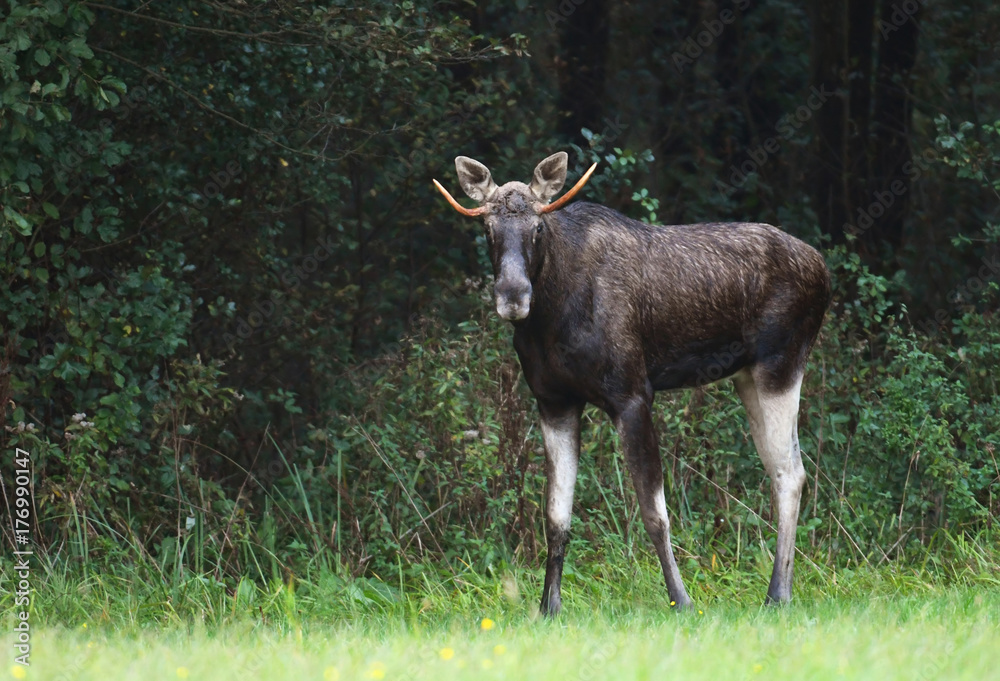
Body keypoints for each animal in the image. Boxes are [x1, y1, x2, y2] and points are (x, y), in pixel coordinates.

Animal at [433, 152, 831, 615]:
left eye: (537, 227)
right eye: (488, 230)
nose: (513, 296)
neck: (551, 317)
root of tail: (824, 271)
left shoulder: (633, 395)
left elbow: (654, 513)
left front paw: (682, 600)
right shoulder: (554, 401)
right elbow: (555, 515)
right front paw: (548, 607)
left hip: (781, 364)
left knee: (791, 473)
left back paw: (778, 594)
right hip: (748, 377)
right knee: (781, 469)